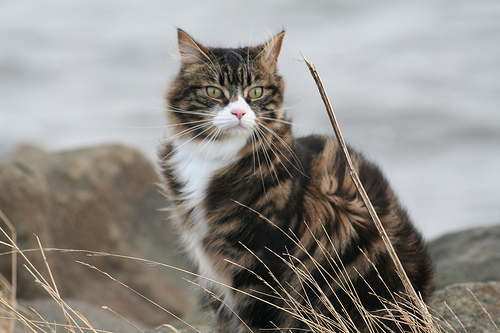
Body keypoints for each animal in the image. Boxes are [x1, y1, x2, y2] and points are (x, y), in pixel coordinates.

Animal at [160, 29, 434, 332]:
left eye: (256, 92)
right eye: (213, 92)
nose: (239, 113)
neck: (214, 157)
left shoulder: (259, 264)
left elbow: (256, 320)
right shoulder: (212, 271)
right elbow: (223, 321)